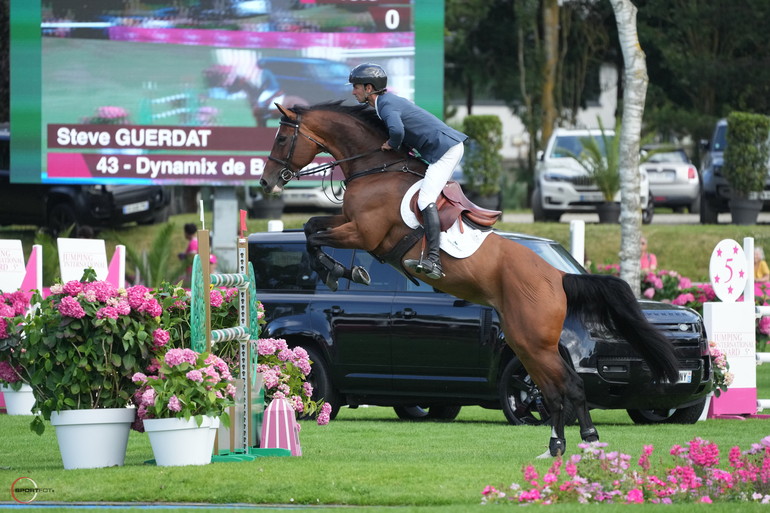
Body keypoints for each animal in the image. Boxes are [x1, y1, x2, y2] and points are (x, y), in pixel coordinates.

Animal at [260, 100, 680, 456]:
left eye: (281, 137)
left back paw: (583, 442)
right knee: (554, 390)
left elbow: (313, 233)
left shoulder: (364, 233)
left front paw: (340, 270)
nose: (266, 183)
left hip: (534, 341)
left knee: (569, 387)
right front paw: (338, 271)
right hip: (525, 342)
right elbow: (311, 226)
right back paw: (559, 445)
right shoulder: (350, 224)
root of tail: (559, 277)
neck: (375, 168)